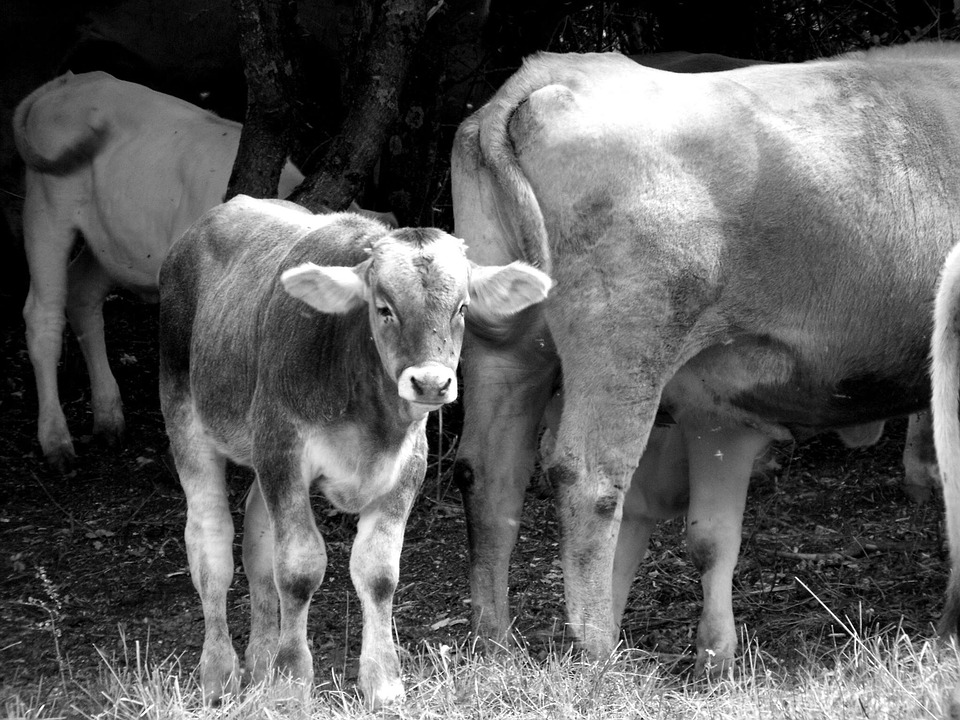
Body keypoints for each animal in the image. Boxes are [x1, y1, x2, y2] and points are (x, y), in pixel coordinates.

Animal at [158, 194, 550, 706]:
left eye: (462, 308)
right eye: (383, 308)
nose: (430, 383)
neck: (371, 420)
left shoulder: (408, 467)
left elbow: (378, 573)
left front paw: (382, 682)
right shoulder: (283, 449)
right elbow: (299, 569)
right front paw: (291, 684)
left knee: (258, 543)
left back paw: (260, 666)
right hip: (185, 414)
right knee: (210, 545)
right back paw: (218, 675)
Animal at [450, 44, 960, 674]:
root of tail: (555, 70)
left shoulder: (719, 417)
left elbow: (712, 536)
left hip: (506, 352)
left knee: (488, 475)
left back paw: (492, 645)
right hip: (626, 349)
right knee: (588, 479)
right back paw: (597, 656)